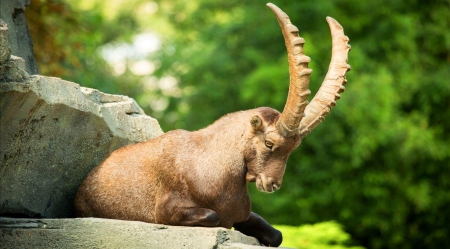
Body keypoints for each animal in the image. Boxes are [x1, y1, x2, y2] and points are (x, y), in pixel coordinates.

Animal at [74, 3, 352, 247]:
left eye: (293, 149)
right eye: (269, 143)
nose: (272, 184)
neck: (213, 166)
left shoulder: (242, 213)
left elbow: (276, 235)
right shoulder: (165, 210)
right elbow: (213, 216)